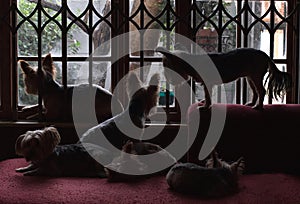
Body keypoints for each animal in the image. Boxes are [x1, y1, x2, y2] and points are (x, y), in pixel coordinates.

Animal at [156, 46, 292, 110]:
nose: (167, 79)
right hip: (250, 77)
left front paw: (206, 106)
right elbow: (206, 95)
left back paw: (258, 107)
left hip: (255, 75)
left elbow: (208, 95)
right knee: (255, 91)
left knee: (261, 91)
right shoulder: (206, 84)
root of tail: (263, 54)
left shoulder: (208, 83)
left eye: (166, 66)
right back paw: (252, 103)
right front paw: (205, 103)